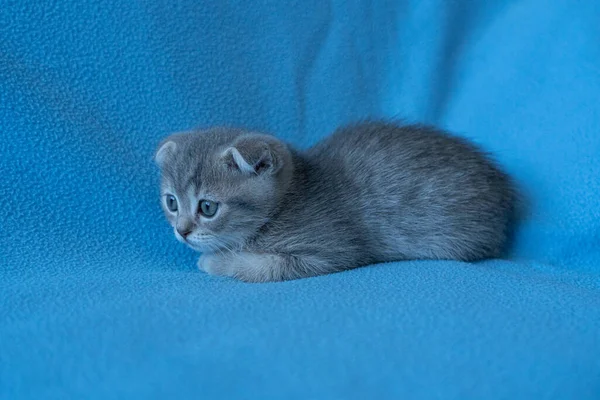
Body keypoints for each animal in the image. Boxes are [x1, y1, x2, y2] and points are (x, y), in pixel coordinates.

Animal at [155, 121, 516, 282]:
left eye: (207, 207)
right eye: (172, 202)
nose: (181, 231)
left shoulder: (330, 251)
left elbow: (263, 266)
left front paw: (213, 261)